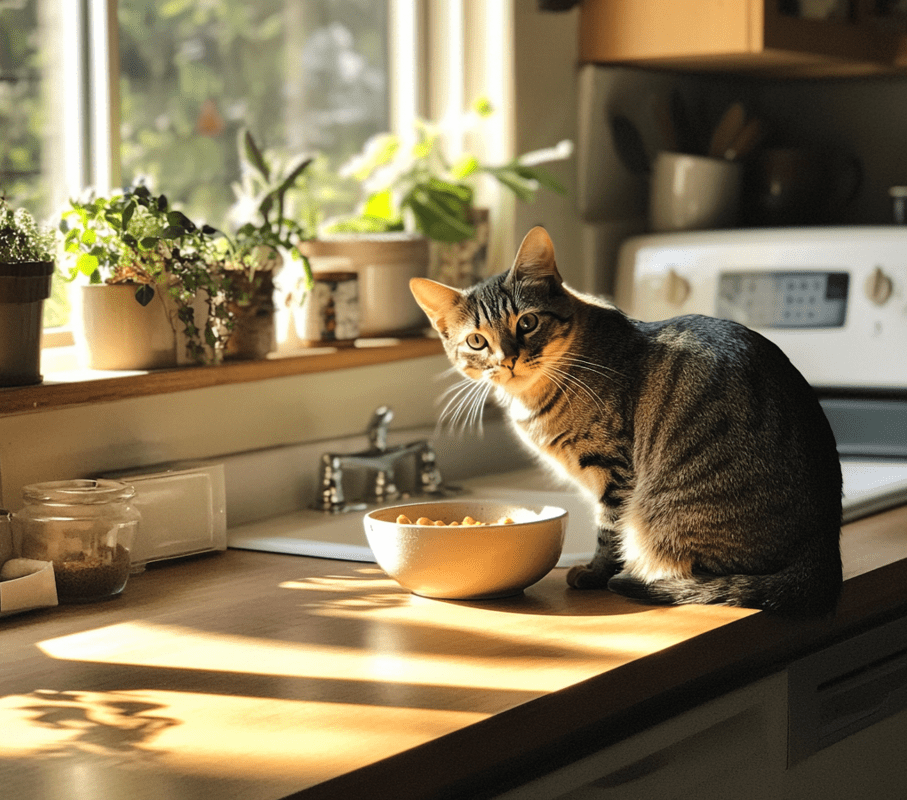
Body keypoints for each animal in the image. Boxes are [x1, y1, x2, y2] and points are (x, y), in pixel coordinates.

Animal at [412, 228, 844, 616]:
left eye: (528, 322)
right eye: (476, 341)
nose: (508, 358)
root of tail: (825, 549)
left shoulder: (614, 470)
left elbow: (609, 532)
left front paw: (594, 573)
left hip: (667, 511)